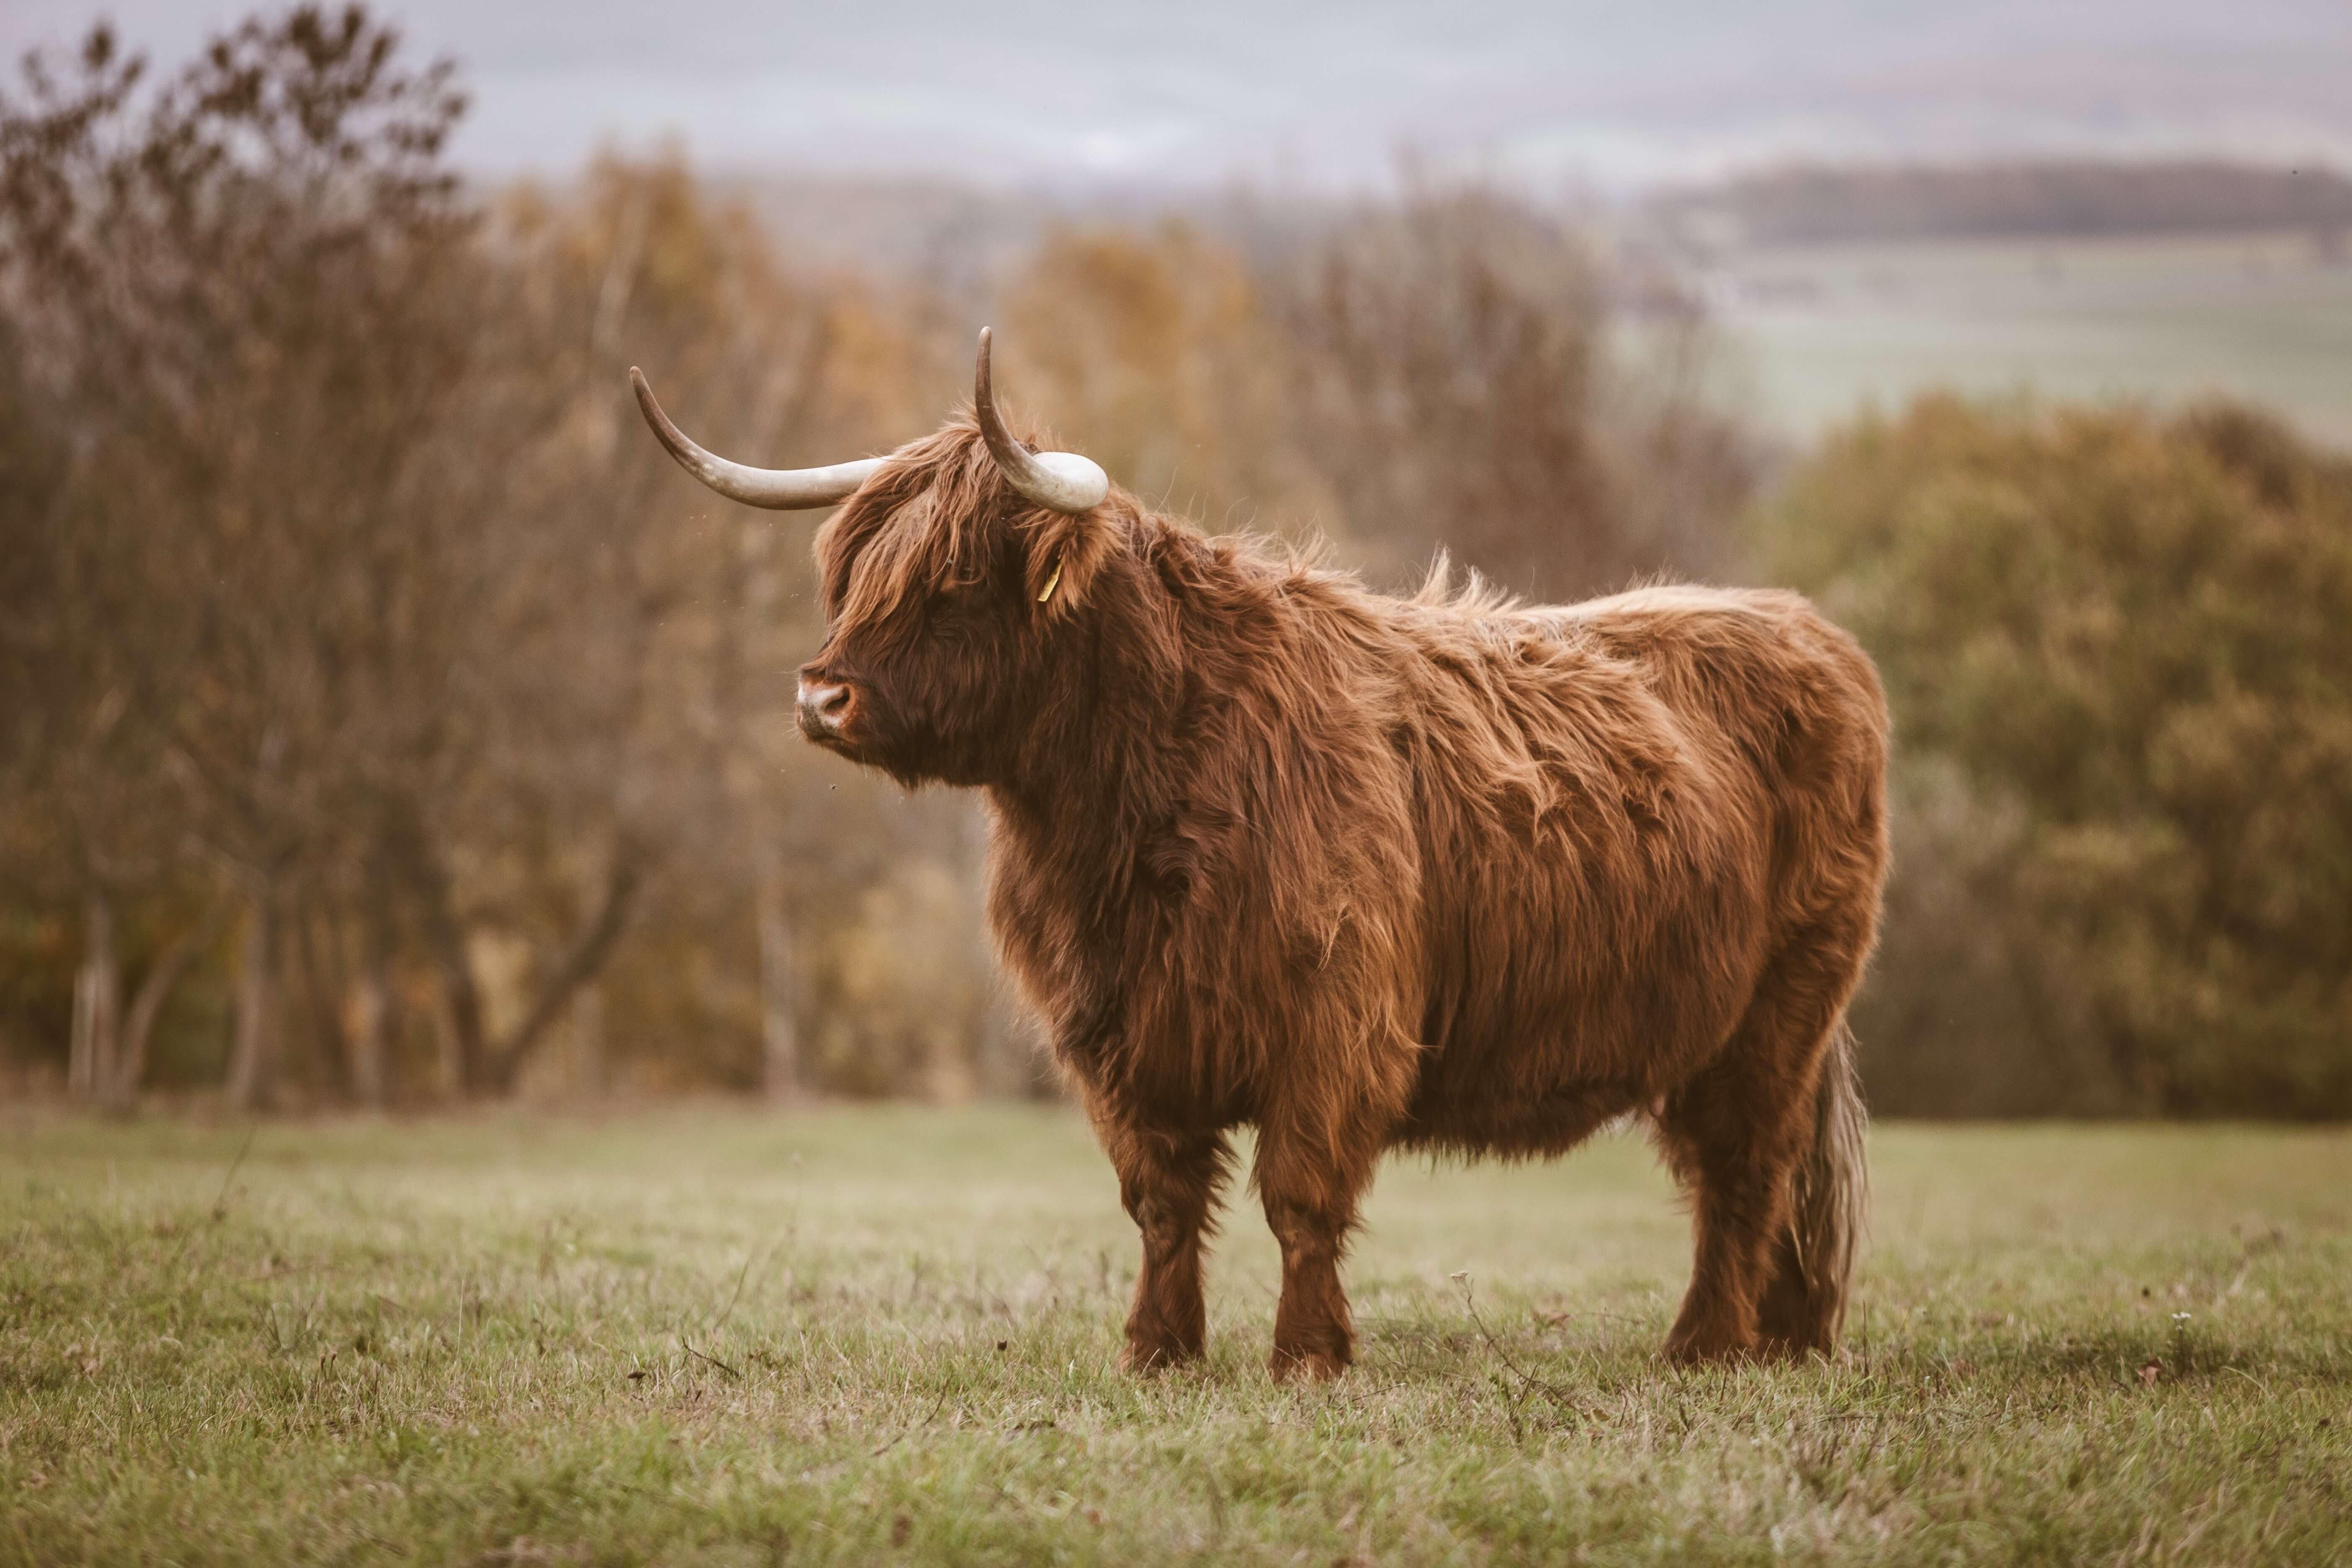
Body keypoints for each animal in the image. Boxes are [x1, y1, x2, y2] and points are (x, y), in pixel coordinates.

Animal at [635, 329, 1881, 1373]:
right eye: (847, 573)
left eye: (952, 577)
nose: (822, 697)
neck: (1128, 815)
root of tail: (1810, 630)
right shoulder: (1115, 1032)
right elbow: (1160, 1202)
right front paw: (1159, 1351)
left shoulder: (1335, 1017)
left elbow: (1300, 1194)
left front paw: (1308, 1357)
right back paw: (1778, 1335)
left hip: (1778, 1013)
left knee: (1746, 1169)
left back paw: (1705, 1346)